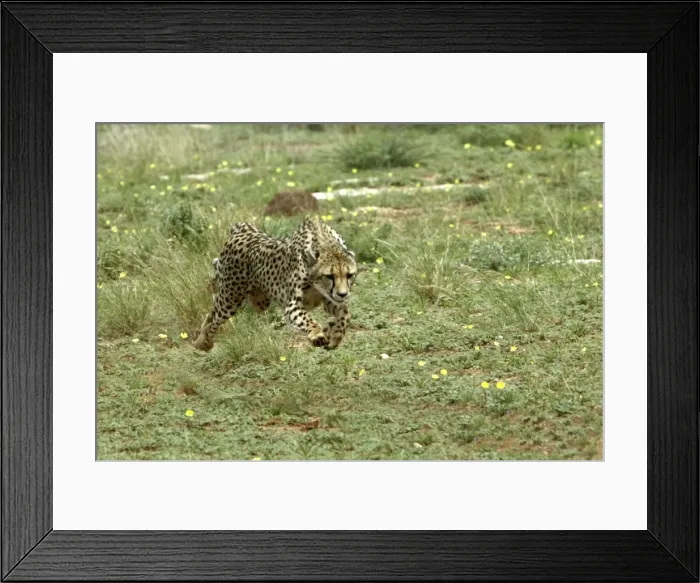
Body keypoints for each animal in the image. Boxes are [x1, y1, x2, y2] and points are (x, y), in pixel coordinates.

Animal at [193, 216, 358, 352]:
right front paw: (317, 334)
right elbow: (307, 319)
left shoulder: (327, 299)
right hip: (230, 298)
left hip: (260, 302)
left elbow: (345, 313)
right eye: (329, 276)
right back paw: (203, 342)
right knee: (213, 316)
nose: (343, 294)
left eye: (349, 275)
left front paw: (336, 334)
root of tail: (245, 229)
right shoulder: (293, 305)